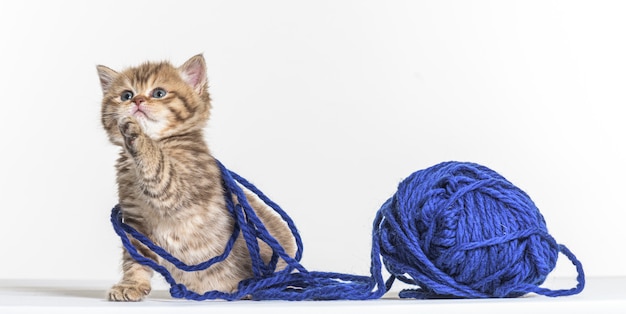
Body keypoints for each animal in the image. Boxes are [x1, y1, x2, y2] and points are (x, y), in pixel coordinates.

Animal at [97, 55, 294, 300]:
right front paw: (132, 284)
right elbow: (136, 258)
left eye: (159, 93)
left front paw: (138, 136)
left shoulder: (182, 187)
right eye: (126, 95)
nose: (137, 101)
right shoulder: (135, 224)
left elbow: (159, 167)